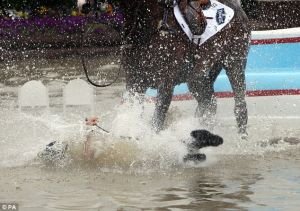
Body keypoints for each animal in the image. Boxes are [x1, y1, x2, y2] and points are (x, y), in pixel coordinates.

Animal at [119, 0, 251, 135]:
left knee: (239, 104)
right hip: (199, 76)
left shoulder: (166, 84)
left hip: (234, 63)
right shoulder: (135, 82)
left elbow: (157, 121)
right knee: (209, 103)